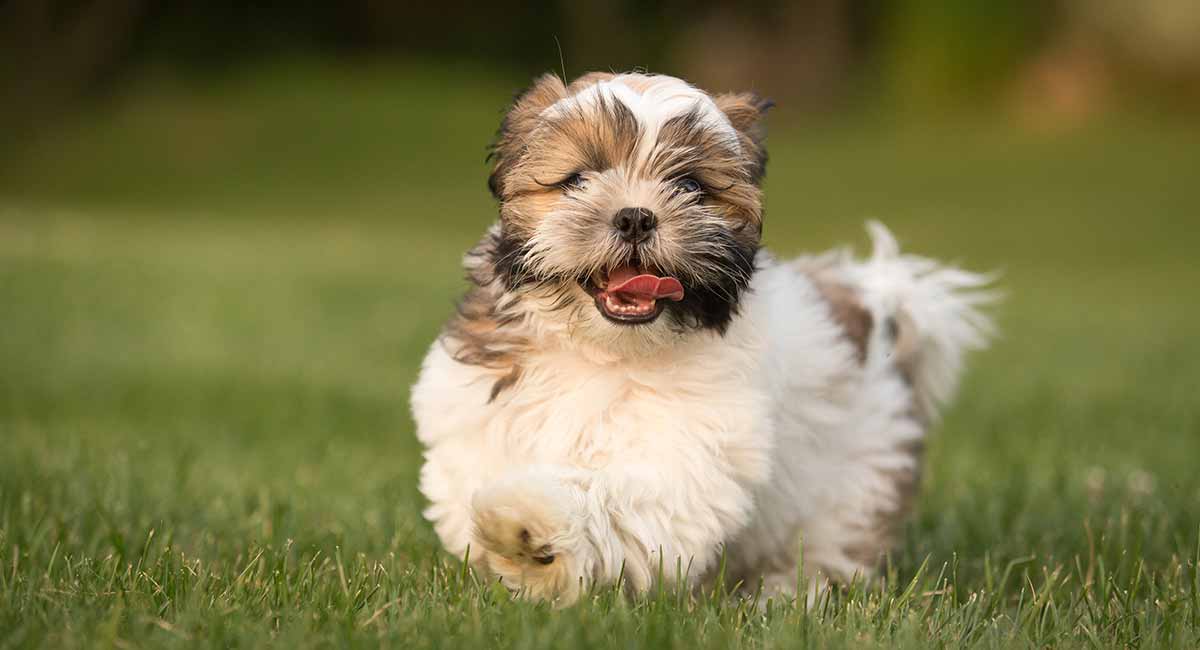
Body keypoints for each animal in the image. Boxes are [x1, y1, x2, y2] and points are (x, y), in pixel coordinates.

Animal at [412, 73, 993, 609]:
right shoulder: (476, 414)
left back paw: (783, 598)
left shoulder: (684, 458)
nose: (635, 216)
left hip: (854, 483)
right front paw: (507, 551)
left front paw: (525, 525)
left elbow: (610, 497)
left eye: (690, 186)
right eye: (577, 179)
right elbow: (468, 478)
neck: (606, 351)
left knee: (825, 548)